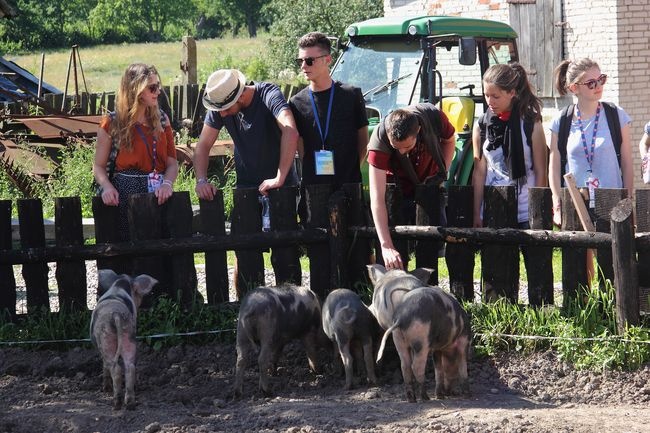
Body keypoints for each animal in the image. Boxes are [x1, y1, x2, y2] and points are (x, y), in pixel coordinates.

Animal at [89, 268, 156, 410]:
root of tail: (116, 315)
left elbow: (104, 365)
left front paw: (105, 389)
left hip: (106, 339)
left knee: (115, 368)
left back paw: (116, 404)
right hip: (129, 335)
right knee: (130, 367)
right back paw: (130, 404)